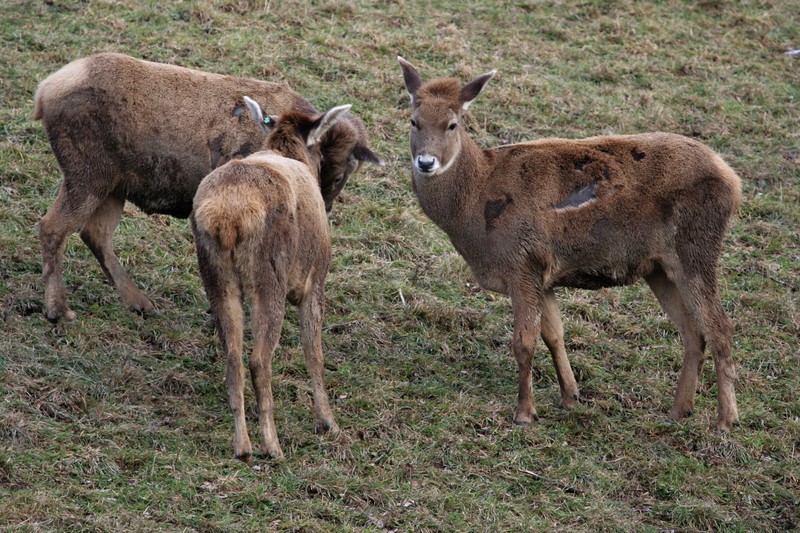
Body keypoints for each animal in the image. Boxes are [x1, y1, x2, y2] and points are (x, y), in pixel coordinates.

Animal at [31, 53, 382, 320]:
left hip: (113, 186)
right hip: (87, 174)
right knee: (52, 226)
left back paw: (140, 303)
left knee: (95, 234)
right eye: (338, 173)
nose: (325, 206)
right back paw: (58, 309)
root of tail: (43, 93)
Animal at [400, 57, 744, 432]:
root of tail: (733, 182)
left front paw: (524, 413)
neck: (475, 209)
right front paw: (570, 396)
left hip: (697, 247)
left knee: (721, 328)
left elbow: (524, 343)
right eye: (414, 121)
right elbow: (554, 335)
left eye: (452, 124)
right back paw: (678, 411)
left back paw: (726, 420)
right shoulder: (544, 276)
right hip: (659, 268)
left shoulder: (523, 263)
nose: (426, 162)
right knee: (693, 332)